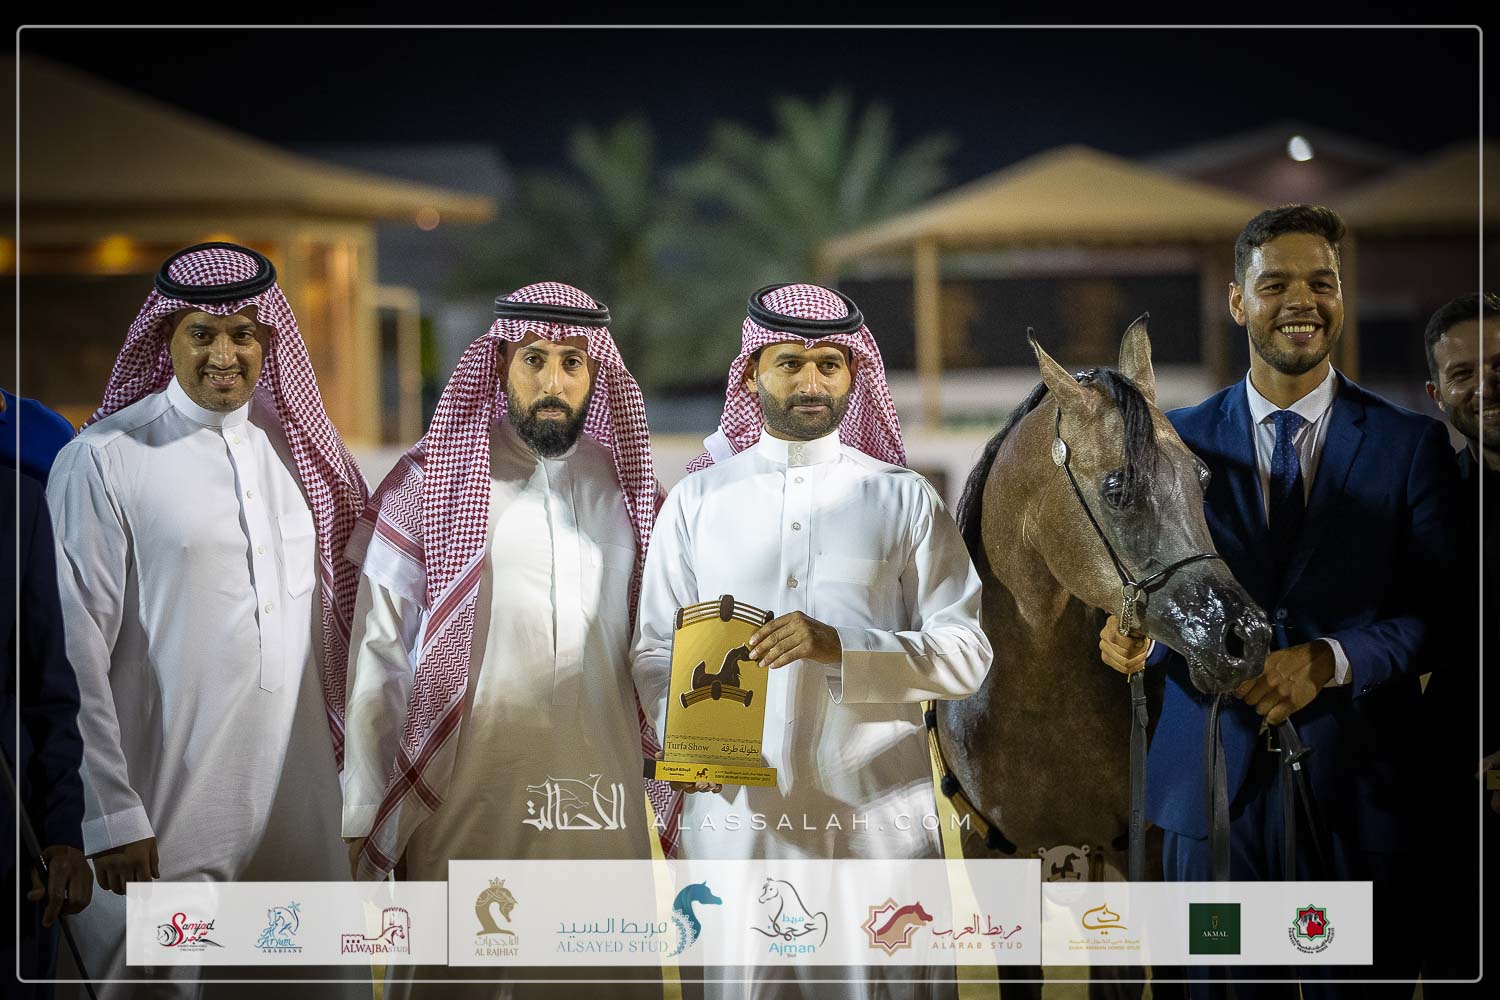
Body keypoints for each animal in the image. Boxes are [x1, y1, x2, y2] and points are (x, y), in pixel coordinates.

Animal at [935, 317, 1271, 999]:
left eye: (1201, 478)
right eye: (1119, 490)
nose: (1243, 637)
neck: (1034, 702)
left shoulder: (1136, 855)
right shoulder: (994, 859)